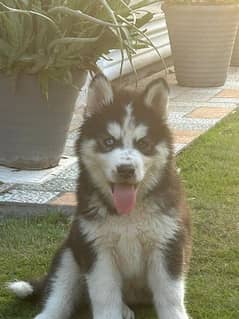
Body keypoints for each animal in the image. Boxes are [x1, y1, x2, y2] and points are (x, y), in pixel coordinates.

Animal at [7, 75, 191, 319]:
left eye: (143, 144)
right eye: (108, 141)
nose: (126, 170)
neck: (127, 216)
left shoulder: (168, 245)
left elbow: (170, 296)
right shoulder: (97, 250)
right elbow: (104, 295)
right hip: (69, 254)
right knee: (58, 296)